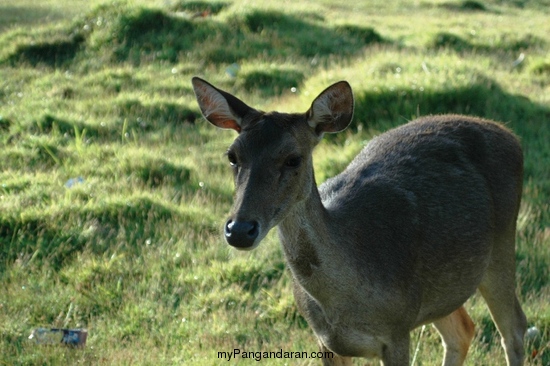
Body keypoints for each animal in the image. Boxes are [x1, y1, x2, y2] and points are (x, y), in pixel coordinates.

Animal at [192, 76, 528, 364]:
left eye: (293, 159)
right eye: (232, 156)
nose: (240, 230)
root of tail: (511, 135)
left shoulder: (397, 330)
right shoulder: (325, 341)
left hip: (501, 247)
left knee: (515, 328)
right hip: (443, 288)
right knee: (463, 331)